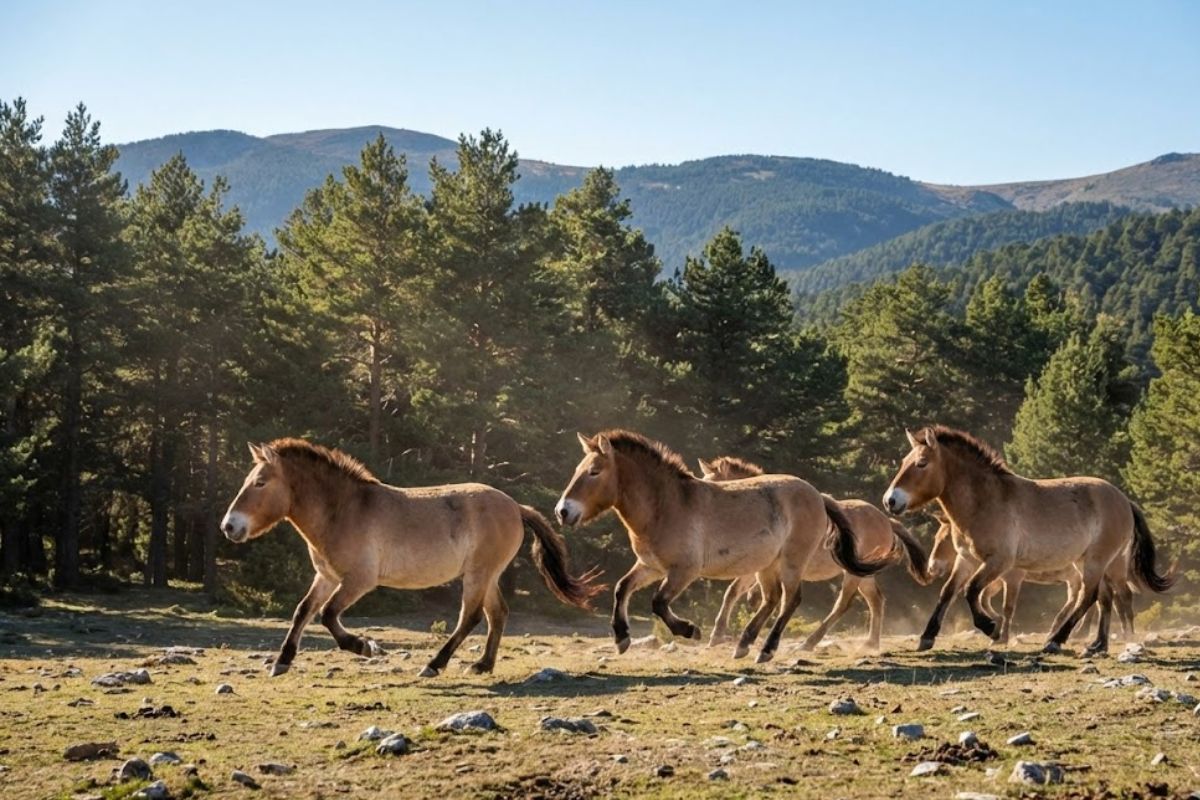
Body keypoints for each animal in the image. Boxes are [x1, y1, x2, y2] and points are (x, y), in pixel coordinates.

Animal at [220, 439, 603, 678]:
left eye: (260, 482)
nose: (229, 526)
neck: (343, 511)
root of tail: (514, 506)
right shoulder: (326, 577)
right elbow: (303, 611)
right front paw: (282, 662)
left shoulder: (358, 580)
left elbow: (328, 615)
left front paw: (363, 647)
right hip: (488, 575)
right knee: (497, 614)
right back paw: (482, 665)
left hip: (478, 575)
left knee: (470, 617)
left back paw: (435, 664)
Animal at [554, 430, 889, 663]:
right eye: (578, 469)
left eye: (594, 471)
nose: (562, 511)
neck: (668, 505)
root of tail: (818, 497)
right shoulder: (650, 566)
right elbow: (622, 588)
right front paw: (621, 637)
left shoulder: (683, 571)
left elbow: (658, 603)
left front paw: (690, 630)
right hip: (768, 566)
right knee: (772, 599)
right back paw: (744, 644)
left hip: (793, 564)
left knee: (791, 601)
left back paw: (768, 649)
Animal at [698, 456, 931, 652]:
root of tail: (887, 522)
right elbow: (734, 592)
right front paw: (719, 633)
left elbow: (734, 591)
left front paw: (721, 633)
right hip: (864, 573)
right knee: (876, 600)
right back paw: (871, 643)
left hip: (853, 574)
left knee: (843, 604)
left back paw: (809, 643)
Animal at [884, 426, 1171, 655]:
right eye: (904, 461)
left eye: (922, 463)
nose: (890, 500)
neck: (985, 501)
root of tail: (1124, 500)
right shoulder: (966, 560)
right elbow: (948, 593)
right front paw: (927, 637)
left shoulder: (1000, 562)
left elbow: (973, 591)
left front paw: (992, 628)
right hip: (1095, 564)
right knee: (1104, 598)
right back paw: (1097, 645)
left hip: (1096, 563)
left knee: (1089, 597)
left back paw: (1056, 640)